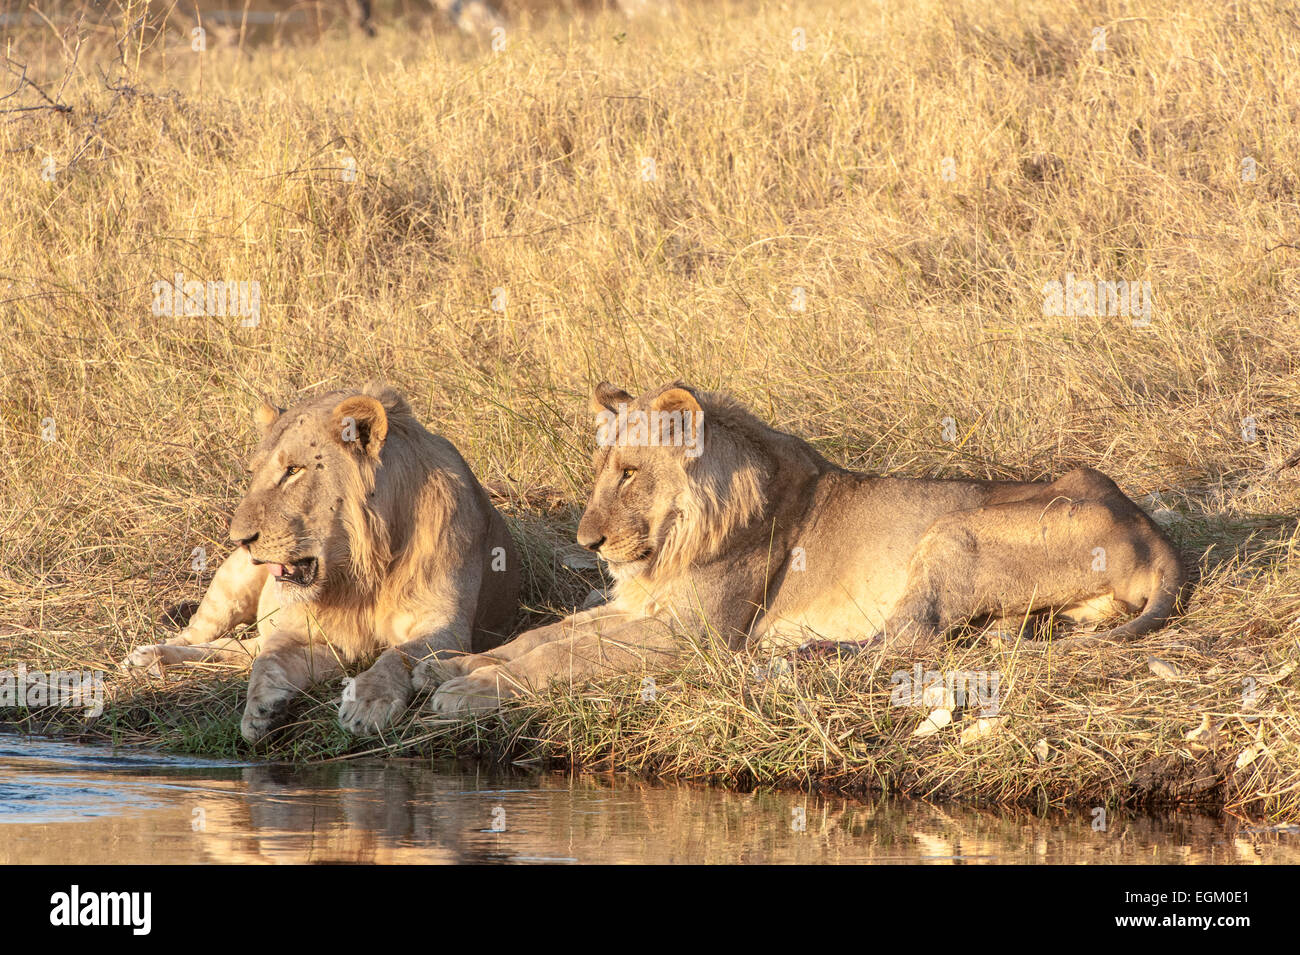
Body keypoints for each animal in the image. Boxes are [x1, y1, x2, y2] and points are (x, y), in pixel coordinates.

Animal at [124, 384, 520, 743]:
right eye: (255, 473)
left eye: (293, 470)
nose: (240, 539)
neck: (363, 569)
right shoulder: (315, 636)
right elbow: (269, 659)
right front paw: (260, 711)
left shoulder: (445, 629)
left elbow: (397, 654)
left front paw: (367, 702)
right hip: (230, 584)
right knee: (203, 635)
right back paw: (148, 656)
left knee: (235, 649)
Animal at [426, 376, 1190, 712]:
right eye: (599, 471)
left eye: (631, 473)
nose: (587, 539)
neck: (674, 541)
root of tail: (1152, 531)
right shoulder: (639, 609)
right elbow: (545, 637)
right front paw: (458, 665)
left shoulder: (692, 635)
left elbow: (567, 655)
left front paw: (468, 689)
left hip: (952, 527)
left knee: (904, 643)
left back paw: (794, 658)